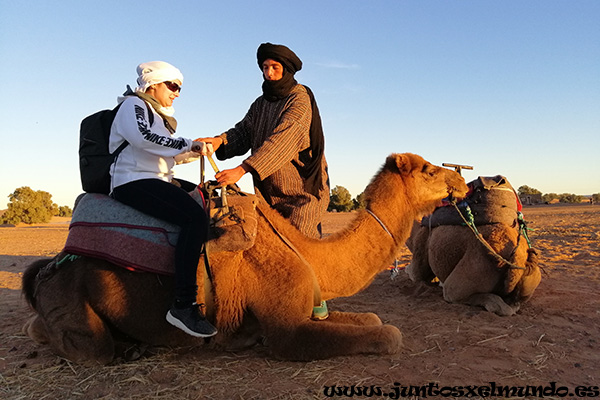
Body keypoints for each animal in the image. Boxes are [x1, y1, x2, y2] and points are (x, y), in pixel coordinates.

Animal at [22, 152, 468, 364]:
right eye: (429, 170)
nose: (462, 179)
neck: (307, 254)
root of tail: (46, 271)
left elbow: (373, 318)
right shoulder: (287, 333)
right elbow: (388, 334)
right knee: (73, 341)